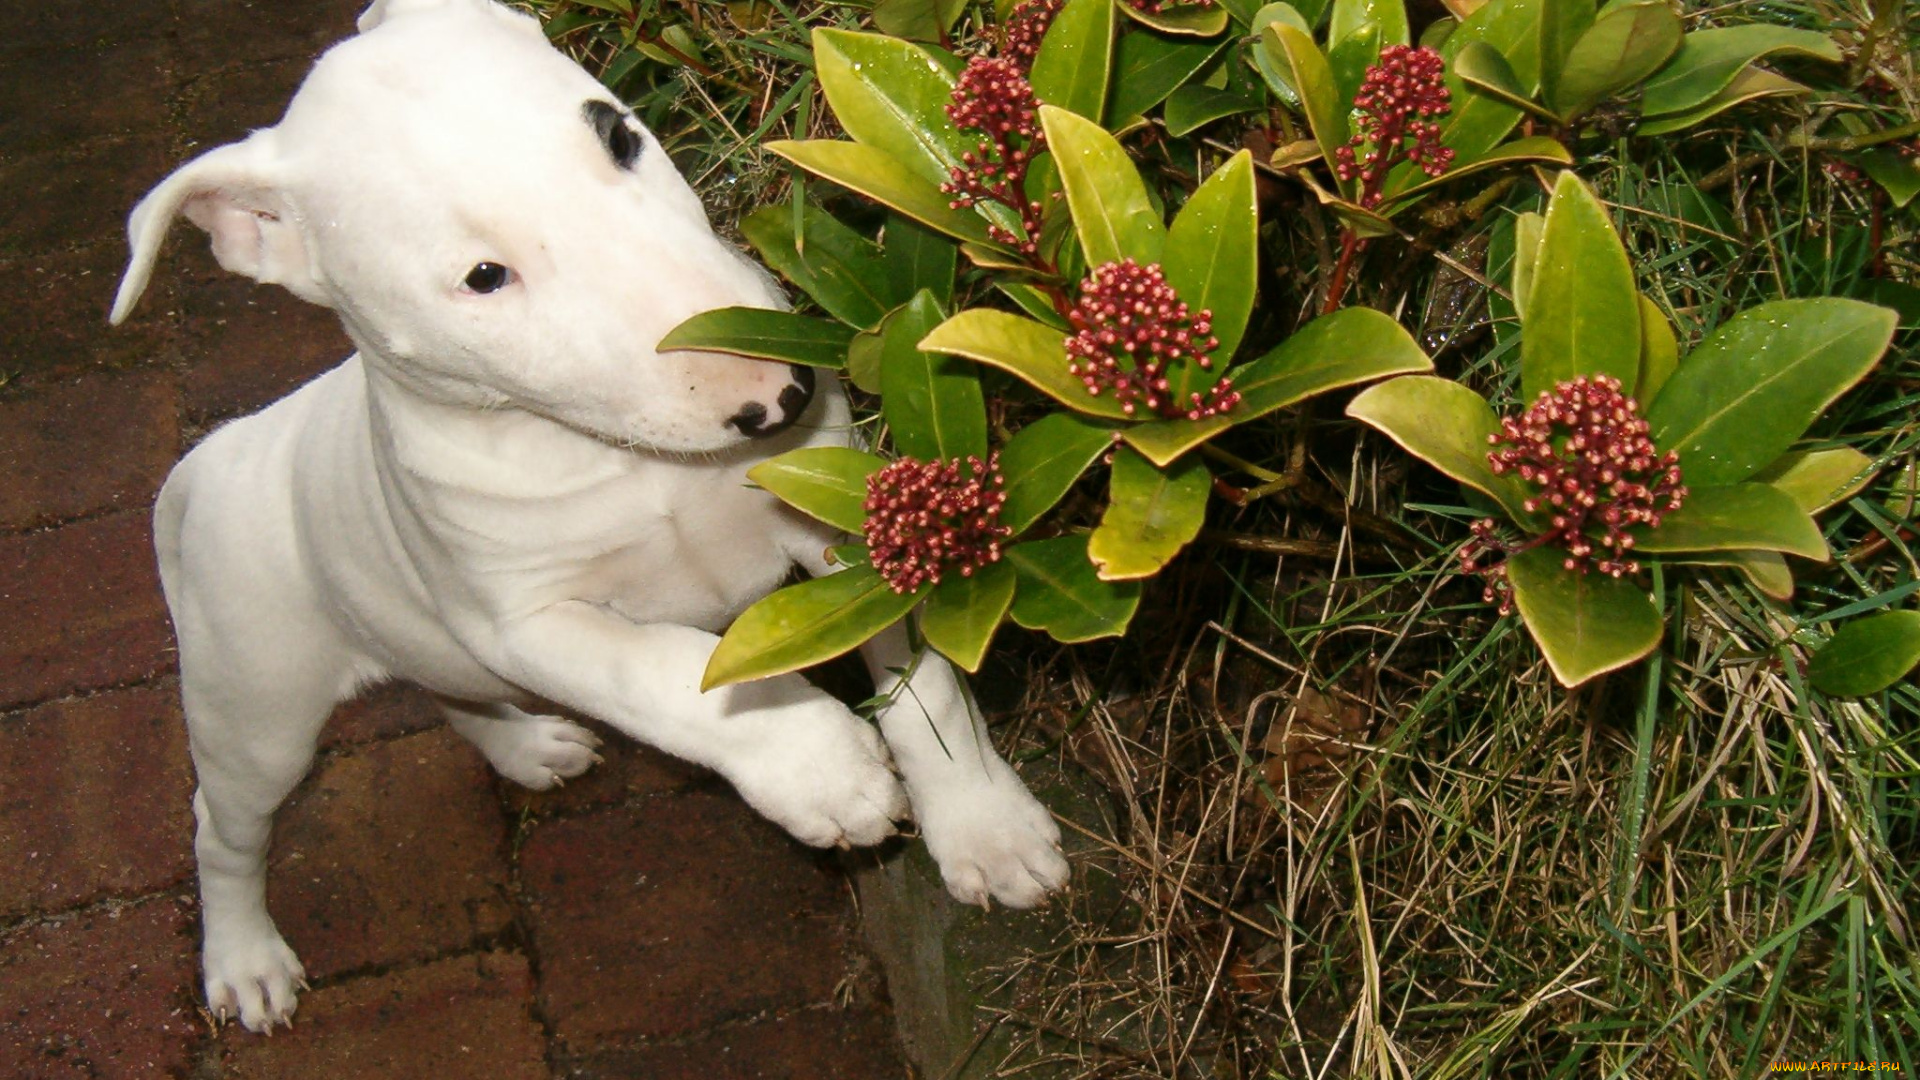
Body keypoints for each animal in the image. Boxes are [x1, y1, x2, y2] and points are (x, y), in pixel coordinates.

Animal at [108, 0, 1067, 1030]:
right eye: (483, 277)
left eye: (618, 135)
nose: (784, 396)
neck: (625, 461)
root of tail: (213, 458)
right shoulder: (522, 620)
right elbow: (661, 671)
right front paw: (822, 771)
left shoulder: (835, 508)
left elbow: (927, 677)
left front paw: (988, 826)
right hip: (255, 702)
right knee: (221, 826)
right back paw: (244, 960)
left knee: (453, 695)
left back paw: (530, 747)